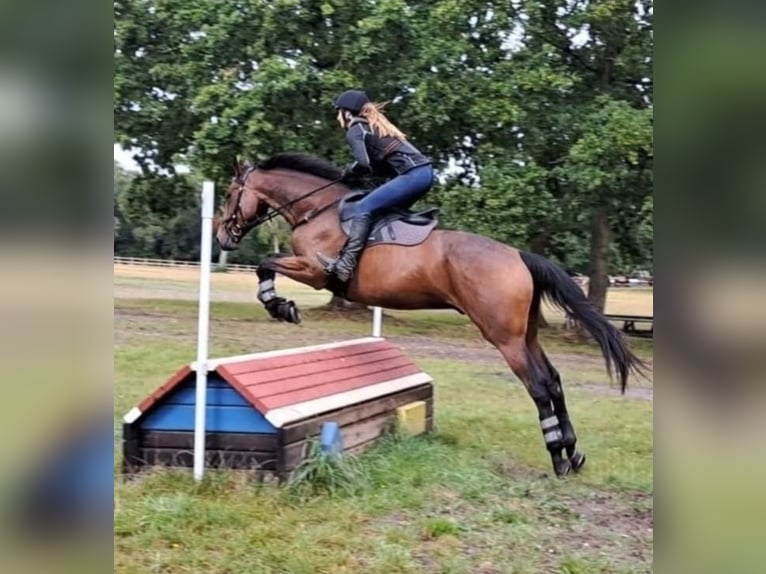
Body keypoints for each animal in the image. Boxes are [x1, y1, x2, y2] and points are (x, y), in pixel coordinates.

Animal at [214, 152, 648, 476]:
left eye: (230, 194)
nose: (221, 236)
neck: (317, 210)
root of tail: (519, 256)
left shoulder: (316, 271)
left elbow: (266, 264)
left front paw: (280, 306)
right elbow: (267, 264)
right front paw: (279, 304)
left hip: (504, 338)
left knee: (539, 386)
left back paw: (557, 457)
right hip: (526, 334)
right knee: (554, 381)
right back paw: (574, 453)